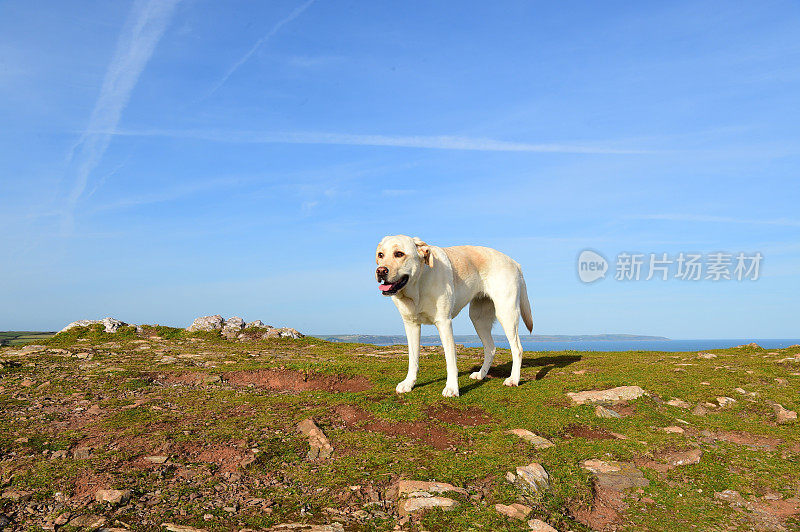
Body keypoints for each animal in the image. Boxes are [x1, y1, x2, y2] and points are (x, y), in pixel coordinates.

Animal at [374, 235, 532, 396]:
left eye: (399, 254)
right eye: (381, 255)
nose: (380, 271)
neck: (418, 284)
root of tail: (514, 263)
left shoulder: (444, 323)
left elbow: (450, 360)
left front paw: (451, 388)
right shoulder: (411, 325)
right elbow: (413, 358)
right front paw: (409, 383)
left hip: (506, 313)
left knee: (517, 349)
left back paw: (513, 379)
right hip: (478, 319)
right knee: (491, 348)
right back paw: (481, 374)